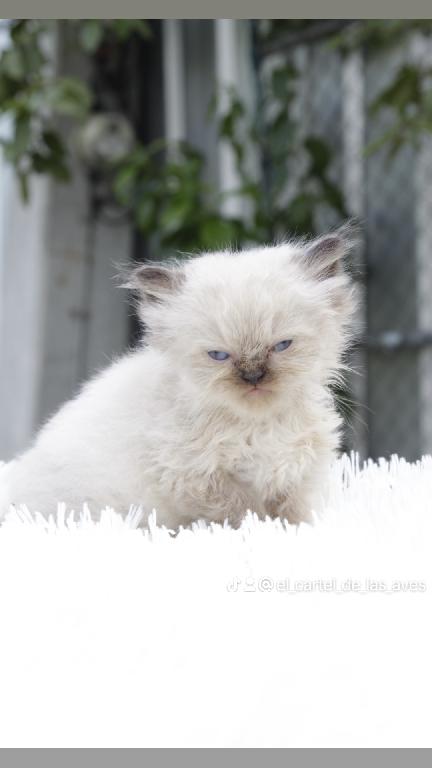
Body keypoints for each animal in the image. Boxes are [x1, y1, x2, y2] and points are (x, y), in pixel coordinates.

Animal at [0, 228, 358, 528]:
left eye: (282, 345)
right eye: (218, 355)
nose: (253, 376)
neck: (258, 426)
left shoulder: (295, 474)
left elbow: (292, 513)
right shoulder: (196, 477)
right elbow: (245, 510)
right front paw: (262, 528)